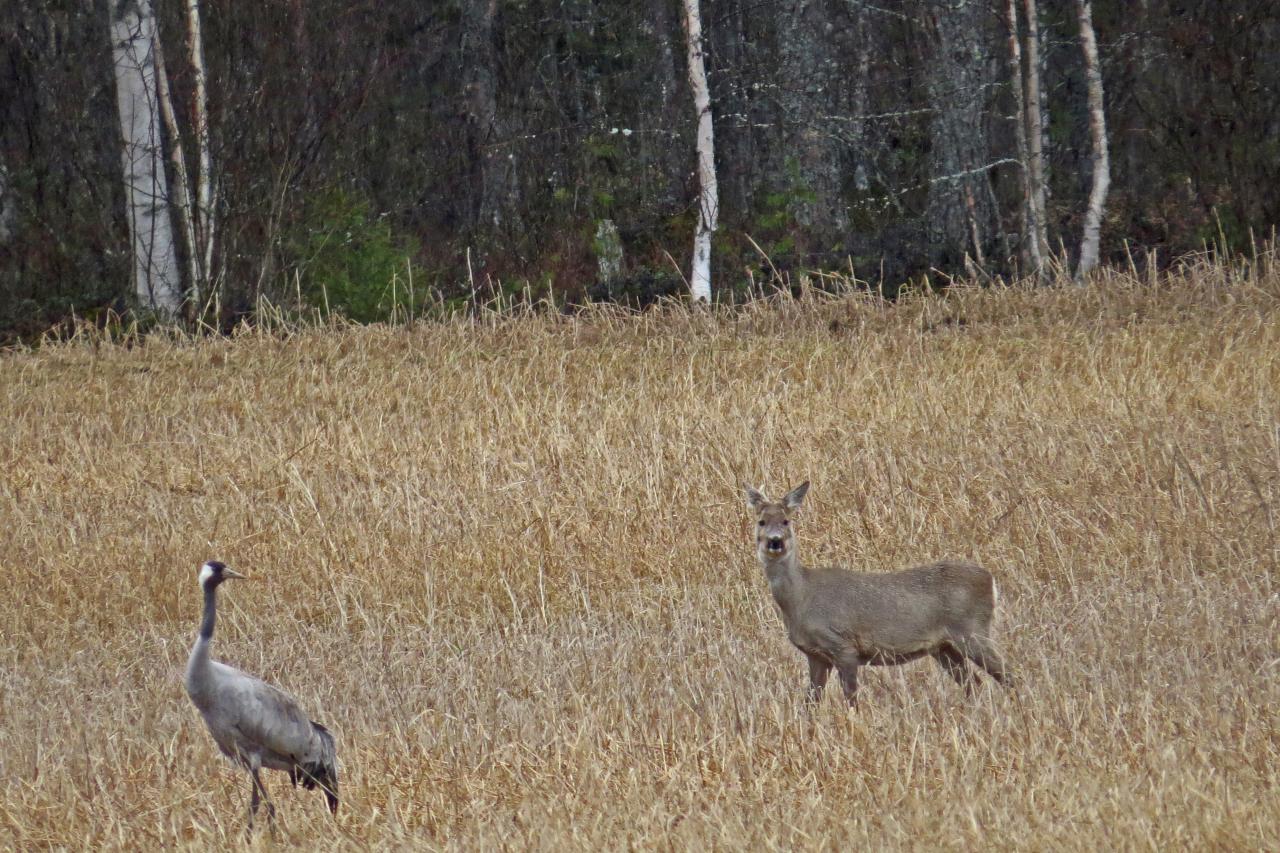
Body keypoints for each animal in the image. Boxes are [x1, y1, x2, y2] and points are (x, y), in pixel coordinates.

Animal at [747, 479, 1008, 701]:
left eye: (786, 521)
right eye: (761, 522)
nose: (775, 541)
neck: (801, 598)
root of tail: (990, 579)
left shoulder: (844, 646)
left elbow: (851, 699)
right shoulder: (816, 655)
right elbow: (811, 702)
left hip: (972, 630)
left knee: (1007, 674)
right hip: (944, 647)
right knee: (975, 684)